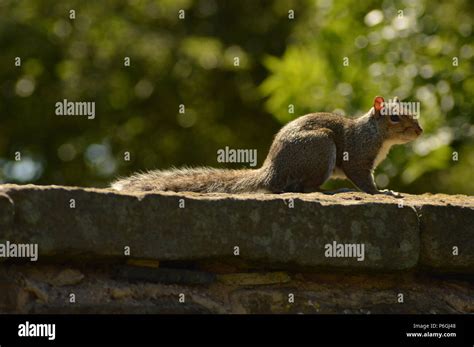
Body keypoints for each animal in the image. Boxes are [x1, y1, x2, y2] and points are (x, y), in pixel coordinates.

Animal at [112, 97, 422, 196]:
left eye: (410, 109)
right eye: (395, 117)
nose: (419, 130)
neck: (377, 135)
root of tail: (272, 170)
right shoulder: (357, 156)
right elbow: (363, 179)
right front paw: (383, 192)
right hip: (320, 147)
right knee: (299, 187)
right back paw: (328, 190)